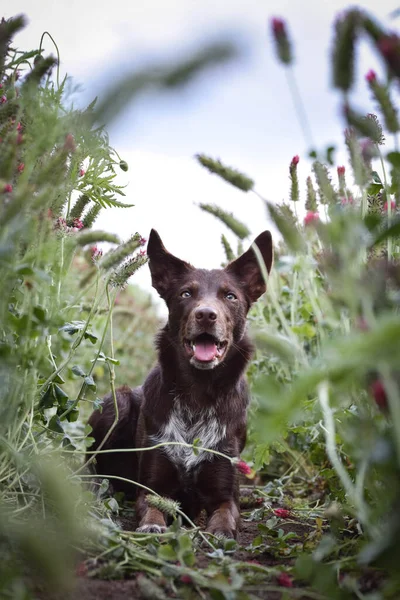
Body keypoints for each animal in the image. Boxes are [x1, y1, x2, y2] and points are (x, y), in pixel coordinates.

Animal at [88, 231, 272, 540]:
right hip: (118, 402)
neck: (197, 393)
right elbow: (152, 507)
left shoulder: (224, 492)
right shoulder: (152, 488)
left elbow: (226, 514)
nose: (206, 314)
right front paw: (152, 525)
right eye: (186, 294)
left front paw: (221, 532)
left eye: (230, 296)